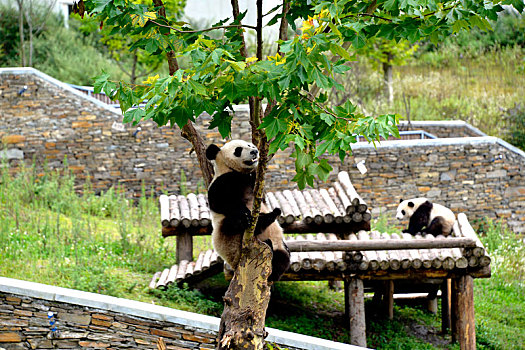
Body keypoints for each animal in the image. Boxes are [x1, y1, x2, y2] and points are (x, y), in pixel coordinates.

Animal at [204, 139, 288, 282]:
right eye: (238, 150)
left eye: (251, 145)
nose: (254, 151)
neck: (238, 172)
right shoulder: (222, 181)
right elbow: (220, 202)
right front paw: (245, 215)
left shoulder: (253, 181)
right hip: (225, 236)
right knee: (232, 223)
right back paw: (260, 219)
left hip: (279, 247)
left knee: (283, 259)